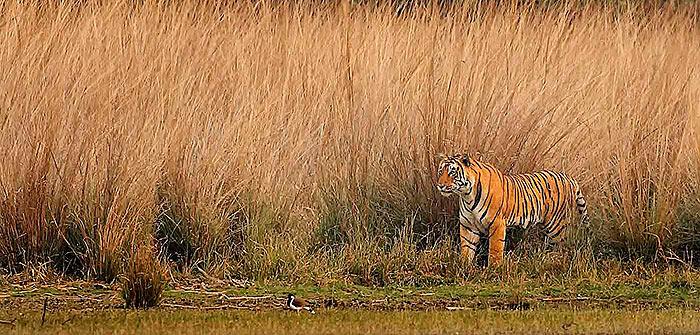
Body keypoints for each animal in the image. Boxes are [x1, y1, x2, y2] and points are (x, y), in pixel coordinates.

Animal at [434, 154, 588, 266]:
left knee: (563, 245)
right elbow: (467, 248)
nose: (440, 185)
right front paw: (463, 266)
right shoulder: (468, 225)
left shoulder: (497, 223)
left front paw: (493, 269)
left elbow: (495, 249)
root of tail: (568, 177)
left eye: (452, 172)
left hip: (556, 225)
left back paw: (557, 261)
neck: (467, 195)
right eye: (441, 171)